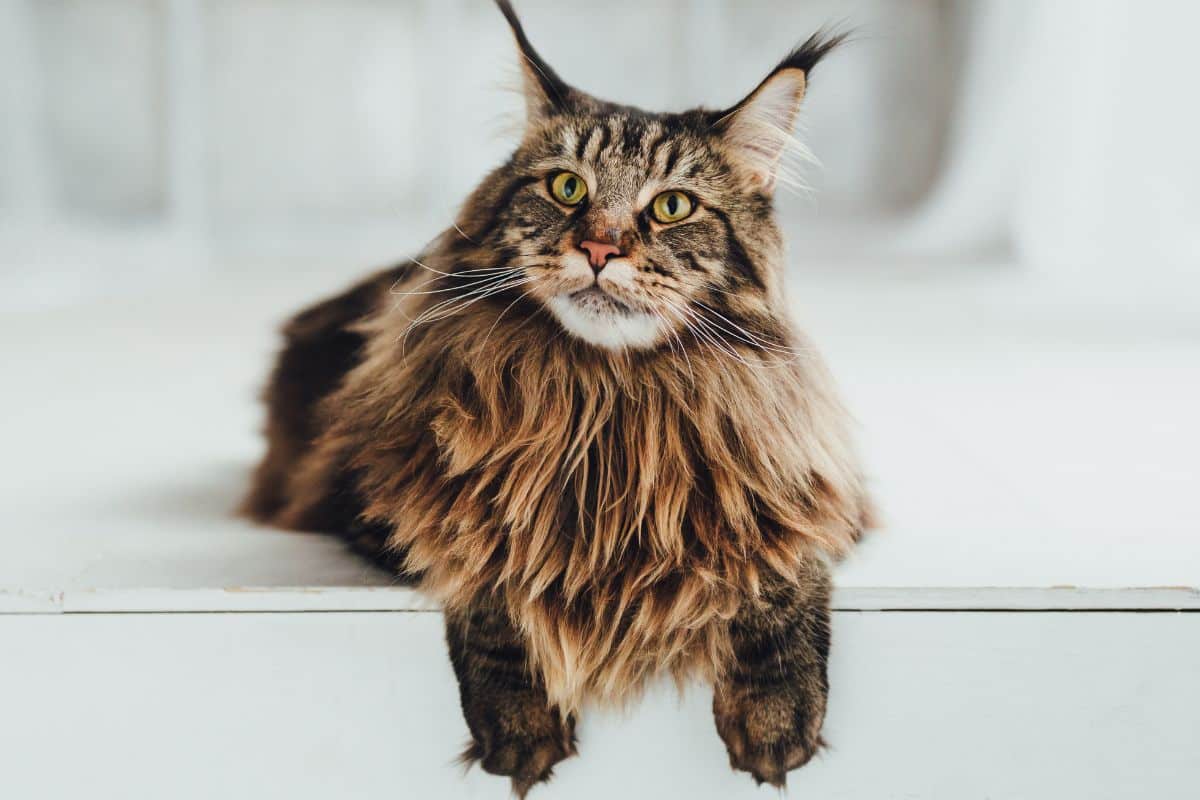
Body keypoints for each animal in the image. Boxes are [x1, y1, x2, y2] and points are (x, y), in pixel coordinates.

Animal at [241, 1, 873, 796]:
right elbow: (494, 566)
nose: (600, 248)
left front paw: (776, 713)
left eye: (672, 206)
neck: (608, 398)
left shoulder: (817, 495)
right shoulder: (397, 499)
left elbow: (780, 572)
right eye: (568, 189)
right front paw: (519, 725)